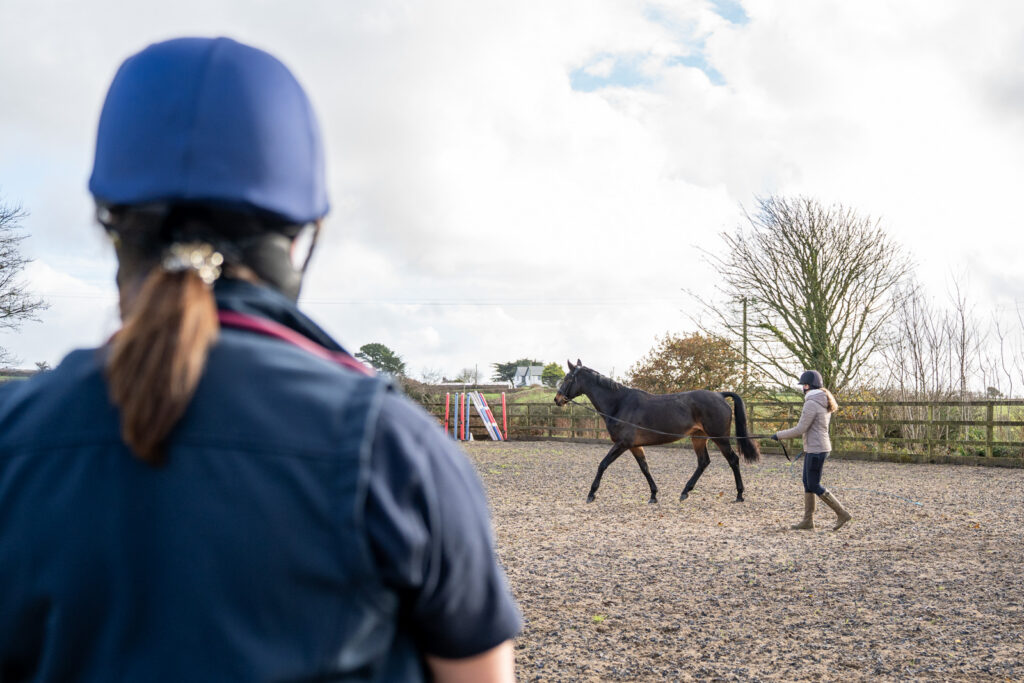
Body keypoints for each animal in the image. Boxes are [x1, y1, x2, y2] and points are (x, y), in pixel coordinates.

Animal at [554, 359, 761, 504]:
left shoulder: (622, 444)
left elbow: (602, 464)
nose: (557, 399)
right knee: (703, 462)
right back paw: (685, 492)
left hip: (720, 438)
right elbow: (645, 468)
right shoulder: (634, 446)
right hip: (698, 437)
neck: (619, 403)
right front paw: (653, 495)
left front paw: (591, 494)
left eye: (567, 379)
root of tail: (720, 395)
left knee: (733, 460)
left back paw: (739, 494)